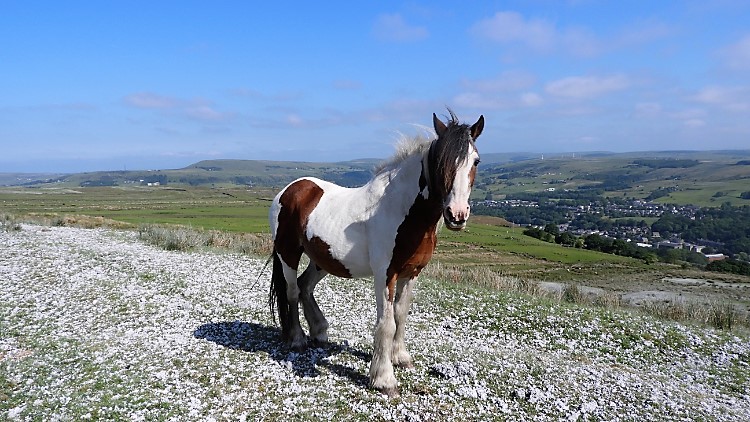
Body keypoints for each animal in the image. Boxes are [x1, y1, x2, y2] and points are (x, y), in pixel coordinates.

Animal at [268, 110, 484, 398]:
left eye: (475, 161)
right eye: (439, 161)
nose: (457, 215)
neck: (402, 210)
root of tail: (291, 189)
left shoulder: (411, 273)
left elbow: (401, 315)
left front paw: (400, 357)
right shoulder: (385, 275)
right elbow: (387, 322)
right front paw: (384, 378)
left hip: (322, 260)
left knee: (305, 286)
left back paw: (320, 331)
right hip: (288, 253)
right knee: (292, 292)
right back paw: (297, 339)